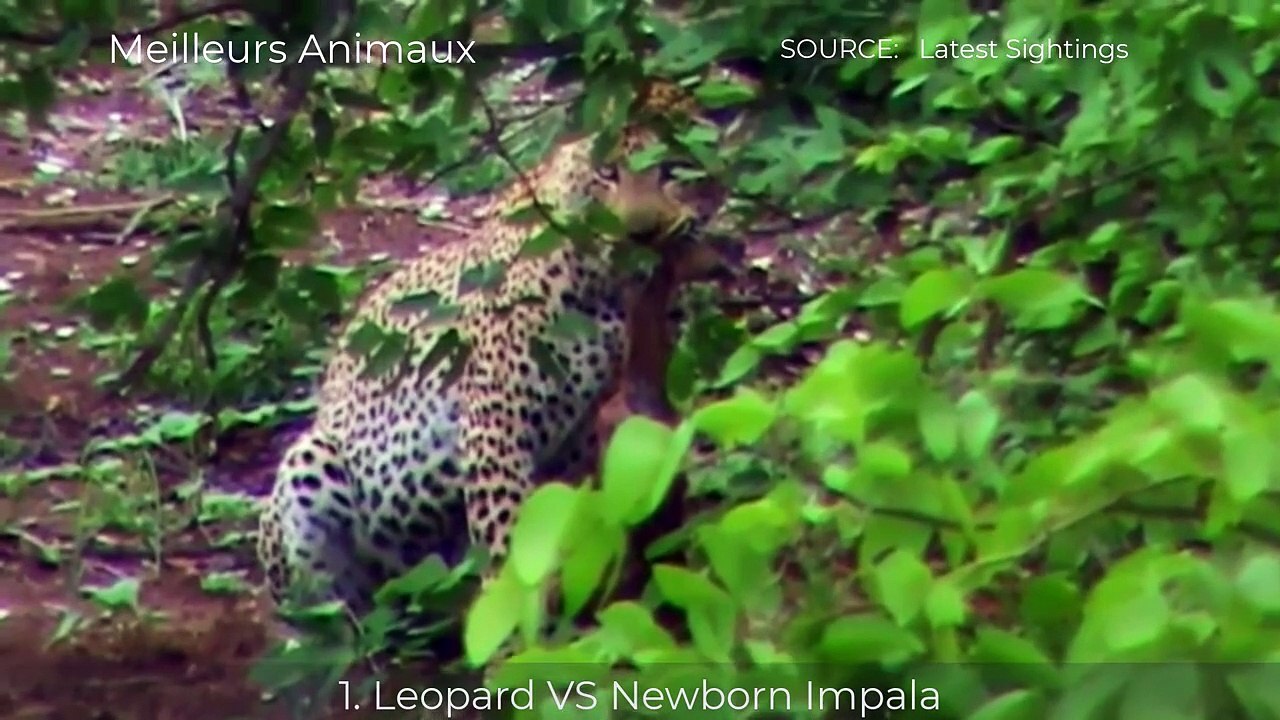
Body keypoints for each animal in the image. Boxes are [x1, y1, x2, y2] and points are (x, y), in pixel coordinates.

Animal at [255, 77, 739, 635]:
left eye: (673, 172)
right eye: (608, 174)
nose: (640, 232)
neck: (612, 292)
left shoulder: (579, 436)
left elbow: (552, 528)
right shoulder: (495, 420)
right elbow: (508, 538)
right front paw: (517, 631)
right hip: (311, 464)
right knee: (333, 615)